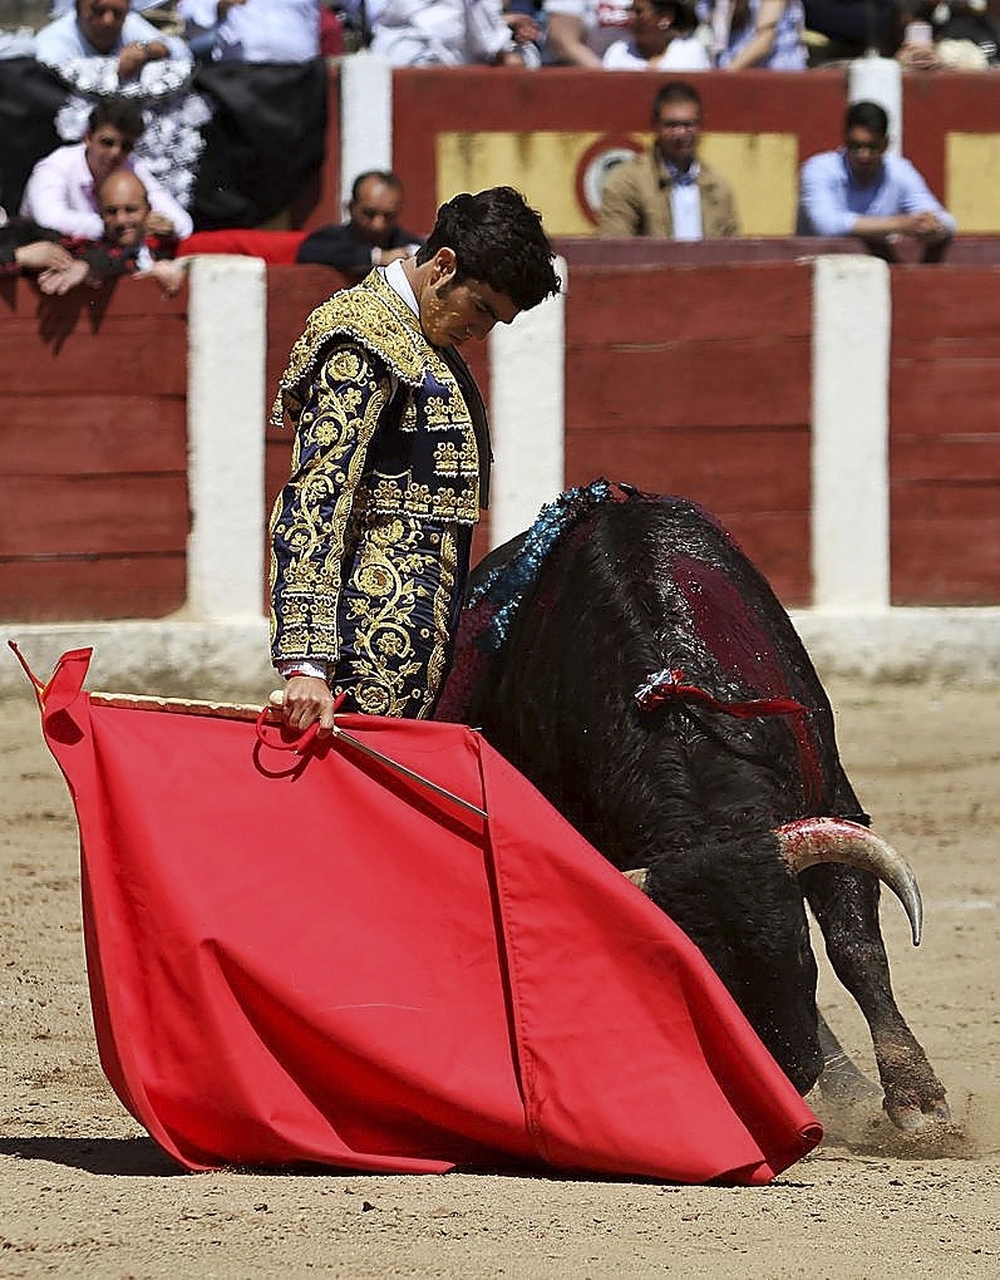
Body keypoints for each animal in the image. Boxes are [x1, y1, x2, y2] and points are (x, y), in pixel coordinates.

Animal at [432, 483, 947, 1136]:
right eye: (703, 980)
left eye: (798, 954)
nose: (788, 1073)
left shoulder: (834, 802)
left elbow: (856, 948)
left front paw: (918, 1102)